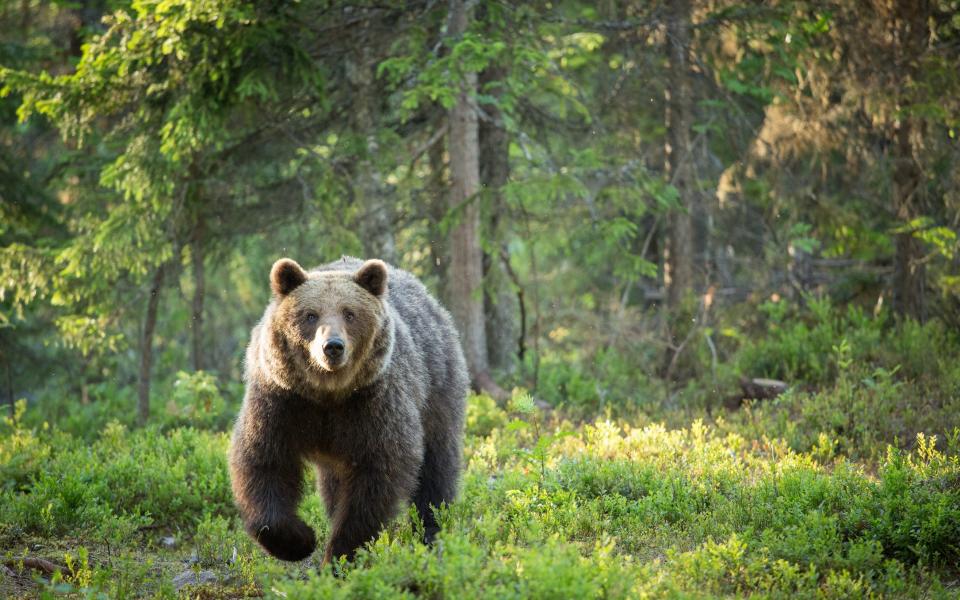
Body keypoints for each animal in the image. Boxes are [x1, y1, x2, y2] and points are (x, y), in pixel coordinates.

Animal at [229, 255, 468, 564]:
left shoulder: (373, 404)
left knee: (437, 466)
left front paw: (340, 554)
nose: (332, 346)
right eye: (310, 314)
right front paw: (300, 540)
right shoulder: (281, 401)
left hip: (436, 387)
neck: (327, 394)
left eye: (350, 313)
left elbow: (377, 476)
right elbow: (263, 461)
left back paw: (432, 530)